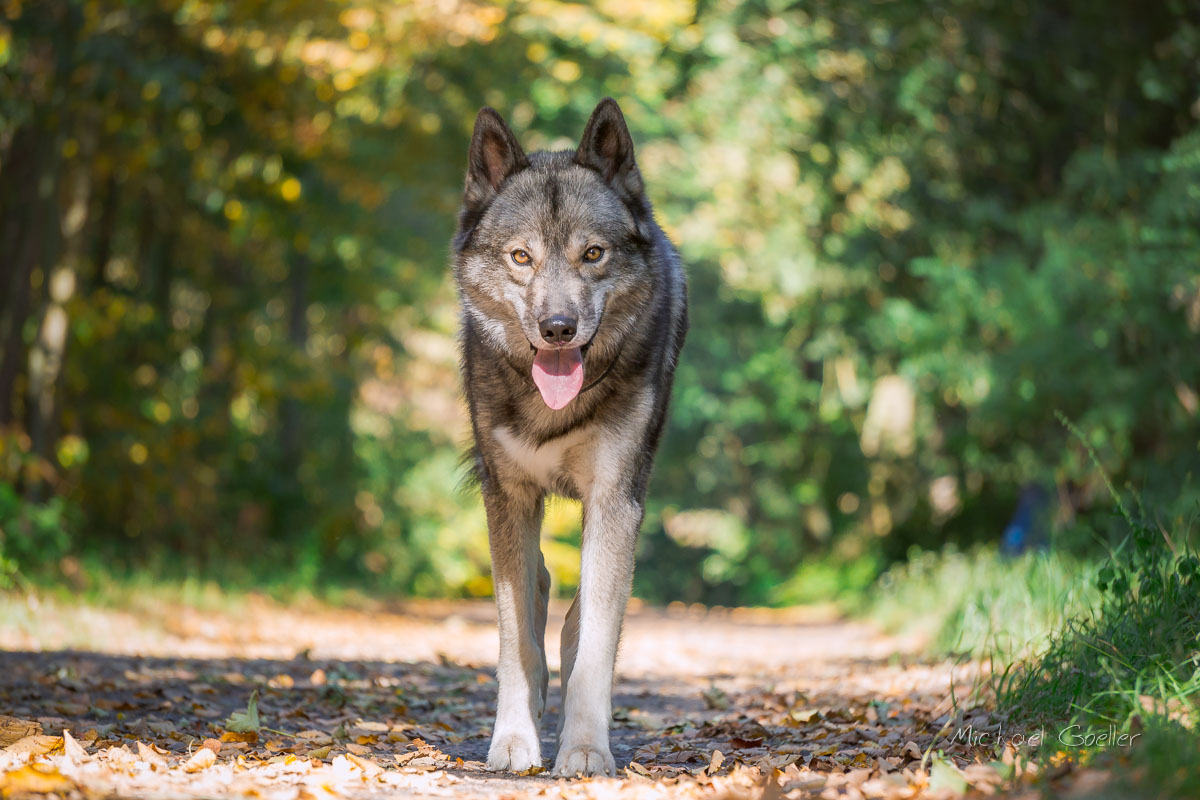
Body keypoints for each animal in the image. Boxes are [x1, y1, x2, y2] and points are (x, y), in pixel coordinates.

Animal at [451, 100, 696, 777]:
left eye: (592, 253)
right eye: (521, 257)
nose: (557, 328)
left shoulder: (615, 501)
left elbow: (593, 647)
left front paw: (585, 748)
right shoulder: (509, 498)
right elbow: (516, 640)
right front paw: (515, 741)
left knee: (578, 615)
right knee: (536, 588)